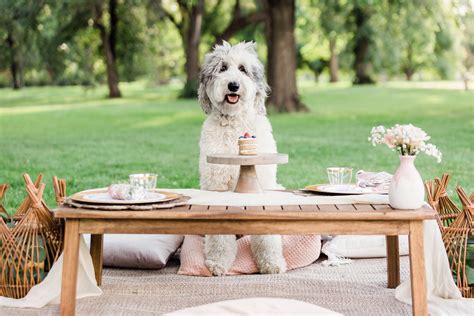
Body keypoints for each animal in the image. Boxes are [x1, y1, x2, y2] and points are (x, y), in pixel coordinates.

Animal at [196, 42, 286, 276]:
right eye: (222, 68)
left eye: (243, 69)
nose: (234, 85)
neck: (234, 120)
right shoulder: (216, 182)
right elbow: (219, 236)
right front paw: (218, 262)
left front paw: (271, 261)